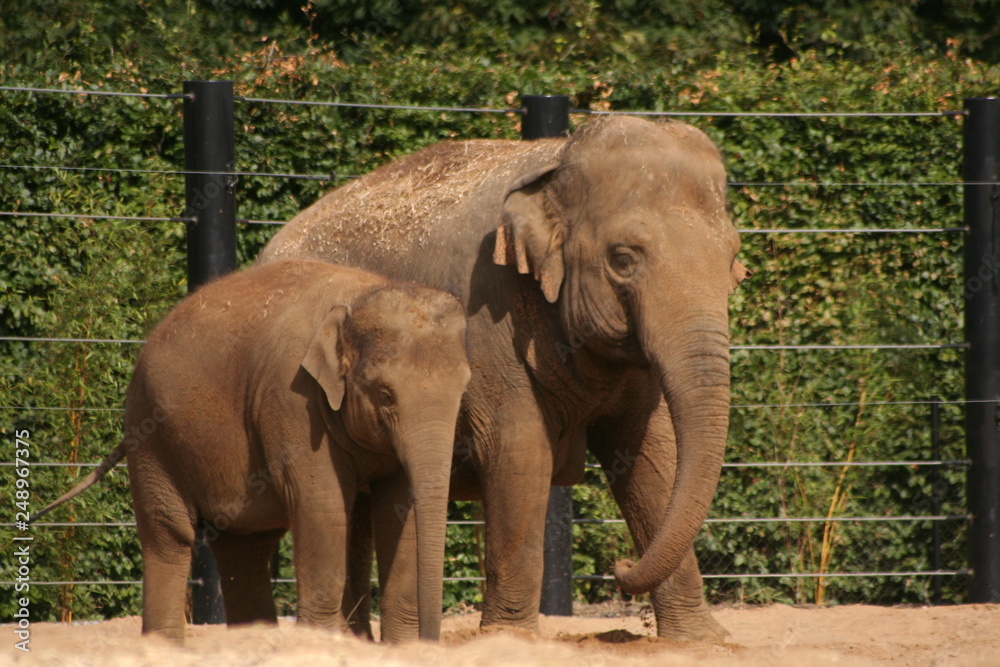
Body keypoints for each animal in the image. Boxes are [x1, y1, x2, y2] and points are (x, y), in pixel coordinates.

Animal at [31, 258, 471, 642]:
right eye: (385, 394)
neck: (358, 296)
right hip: (151, 434)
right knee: (169, 535)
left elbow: (398, 511)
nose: (432, 640)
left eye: (464, 388)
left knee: (244, 547)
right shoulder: (292, 399)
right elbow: (323, 505)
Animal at [257, 115, 747, 641]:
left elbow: (651, 454)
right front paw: (509, 637)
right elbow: (518, 450)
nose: (618, 568)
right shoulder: (486, 313)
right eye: (623, 259)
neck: (555, 159)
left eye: (732, 261)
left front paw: (703, 640)